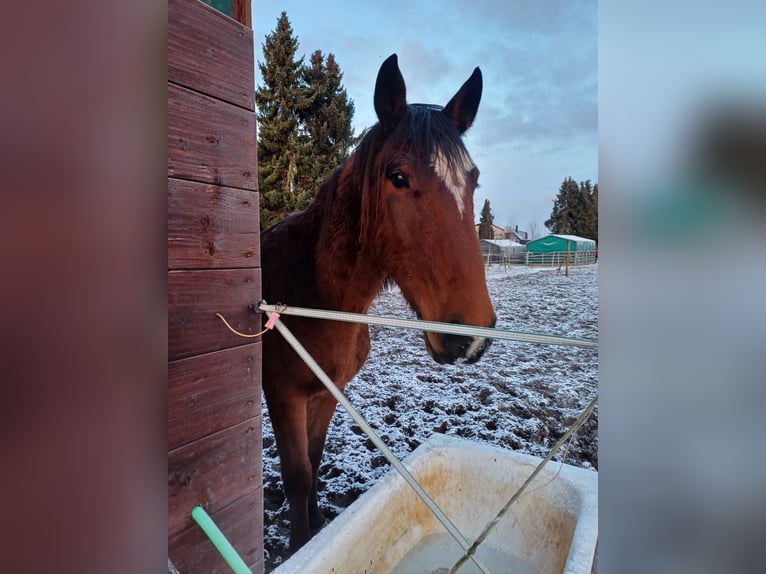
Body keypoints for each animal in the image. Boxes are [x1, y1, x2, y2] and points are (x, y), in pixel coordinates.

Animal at [258, 54, 498, 552]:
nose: (470, 337)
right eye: (398, 178)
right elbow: (296, 475)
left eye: (473, 181)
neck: (317, 299)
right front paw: (300, 546)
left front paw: (317, 528)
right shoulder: (284, 395)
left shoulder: (327, 392)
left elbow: (314, 463)